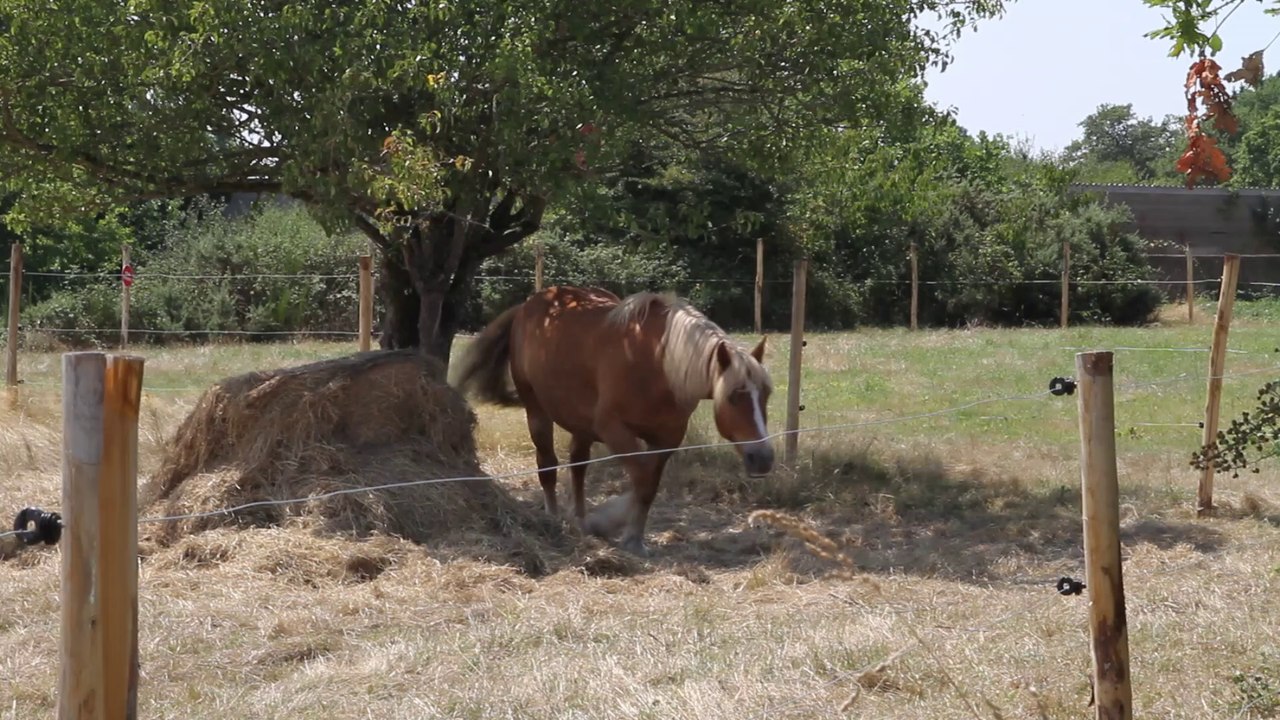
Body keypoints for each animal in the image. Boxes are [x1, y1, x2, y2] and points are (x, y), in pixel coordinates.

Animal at [451, 285, 775, 555]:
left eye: (767, 394)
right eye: (734, 396)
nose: (763, 458)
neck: (657, 362)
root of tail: (529, 305)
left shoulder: (667, 438)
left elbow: (649, 485)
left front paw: (630, 534)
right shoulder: (614, 430)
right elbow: (642, 480)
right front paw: (616, 526)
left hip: (580, 423)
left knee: (578, 465)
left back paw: (581, 519)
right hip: (537, 412)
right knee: (547, 466)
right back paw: (554, 517)